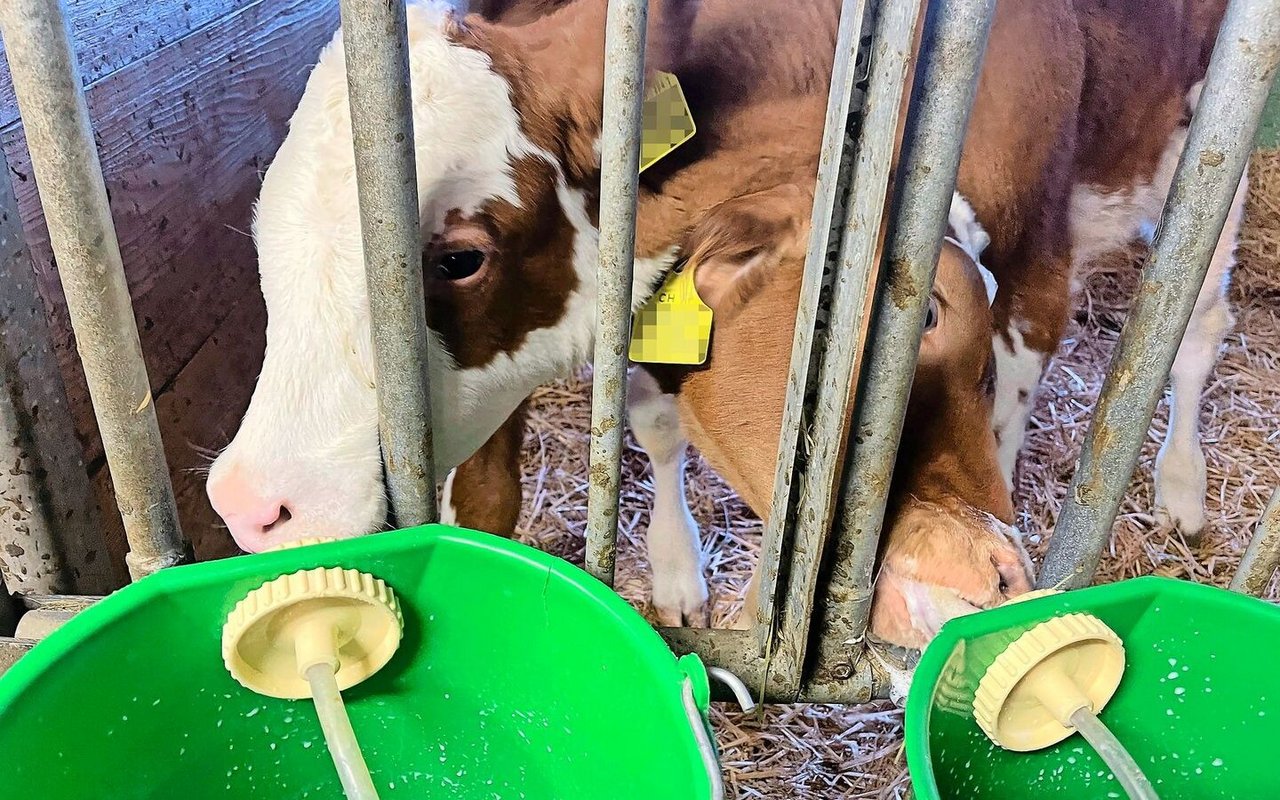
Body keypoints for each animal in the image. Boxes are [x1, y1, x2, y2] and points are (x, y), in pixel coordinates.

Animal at [202, 0, 1239, 650]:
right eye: (264, 239)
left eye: (459, 256)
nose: (249, 505)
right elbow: (639, 432)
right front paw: (673, 577)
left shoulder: (1036, 268)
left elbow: (1017, 413)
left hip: (1209, 138)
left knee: (1199, 321)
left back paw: (1183, 486)